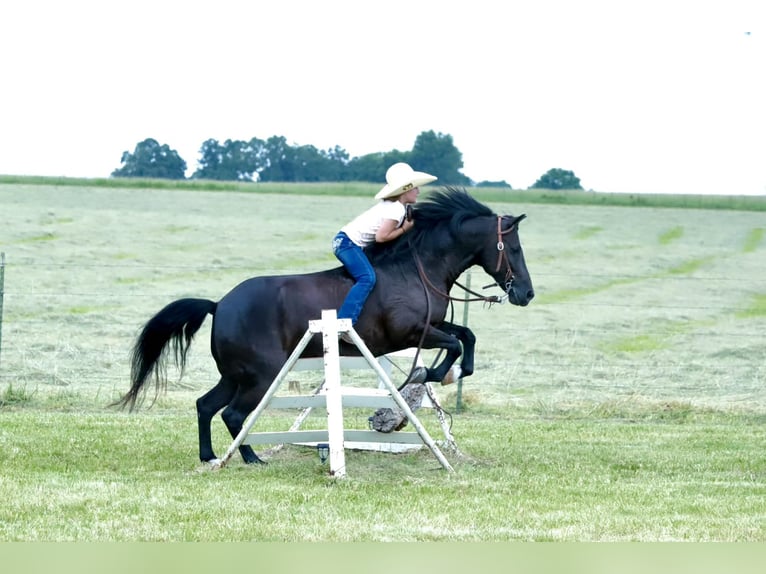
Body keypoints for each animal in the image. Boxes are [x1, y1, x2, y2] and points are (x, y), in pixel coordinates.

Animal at [113, 187, 534, 465]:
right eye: (514, 249)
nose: (526, 294)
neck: (416, 267)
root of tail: (220, 304)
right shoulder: (411, 333)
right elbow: (454, 345)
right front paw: (432, 373)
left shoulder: (430, 324)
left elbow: (466, 336)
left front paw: (446, 373)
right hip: (261, 376)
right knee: (232, 414)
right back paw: (250, 458)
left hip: (236, 375)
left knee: (206, 406)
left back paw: (211, 456)